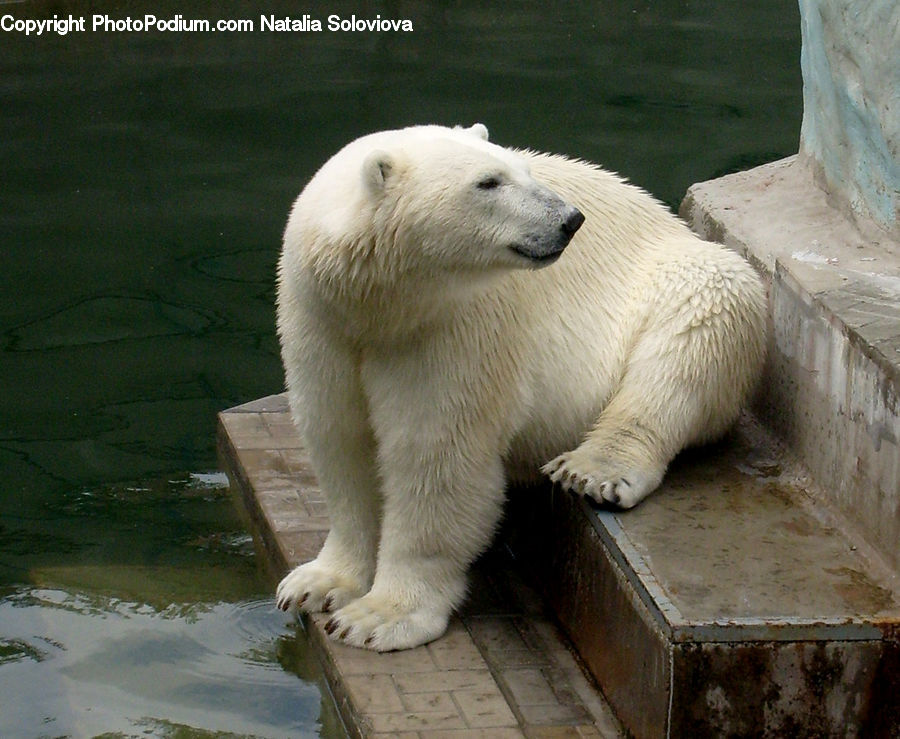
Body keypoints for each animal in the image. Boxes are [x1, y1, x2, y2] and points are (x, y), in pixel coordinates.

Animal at [274, 123, 767, 651]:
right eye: (489, 182)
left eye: (522, 169)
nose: (571, 220)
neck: (382, 307)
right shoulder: (321, 323)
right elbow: (341, 443)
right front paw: (317, 583)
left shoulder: (455, 329)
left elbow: (435, 458)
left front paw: (380, 617)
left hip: (684, 280)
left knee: (690, 335)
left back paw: (593, 470)